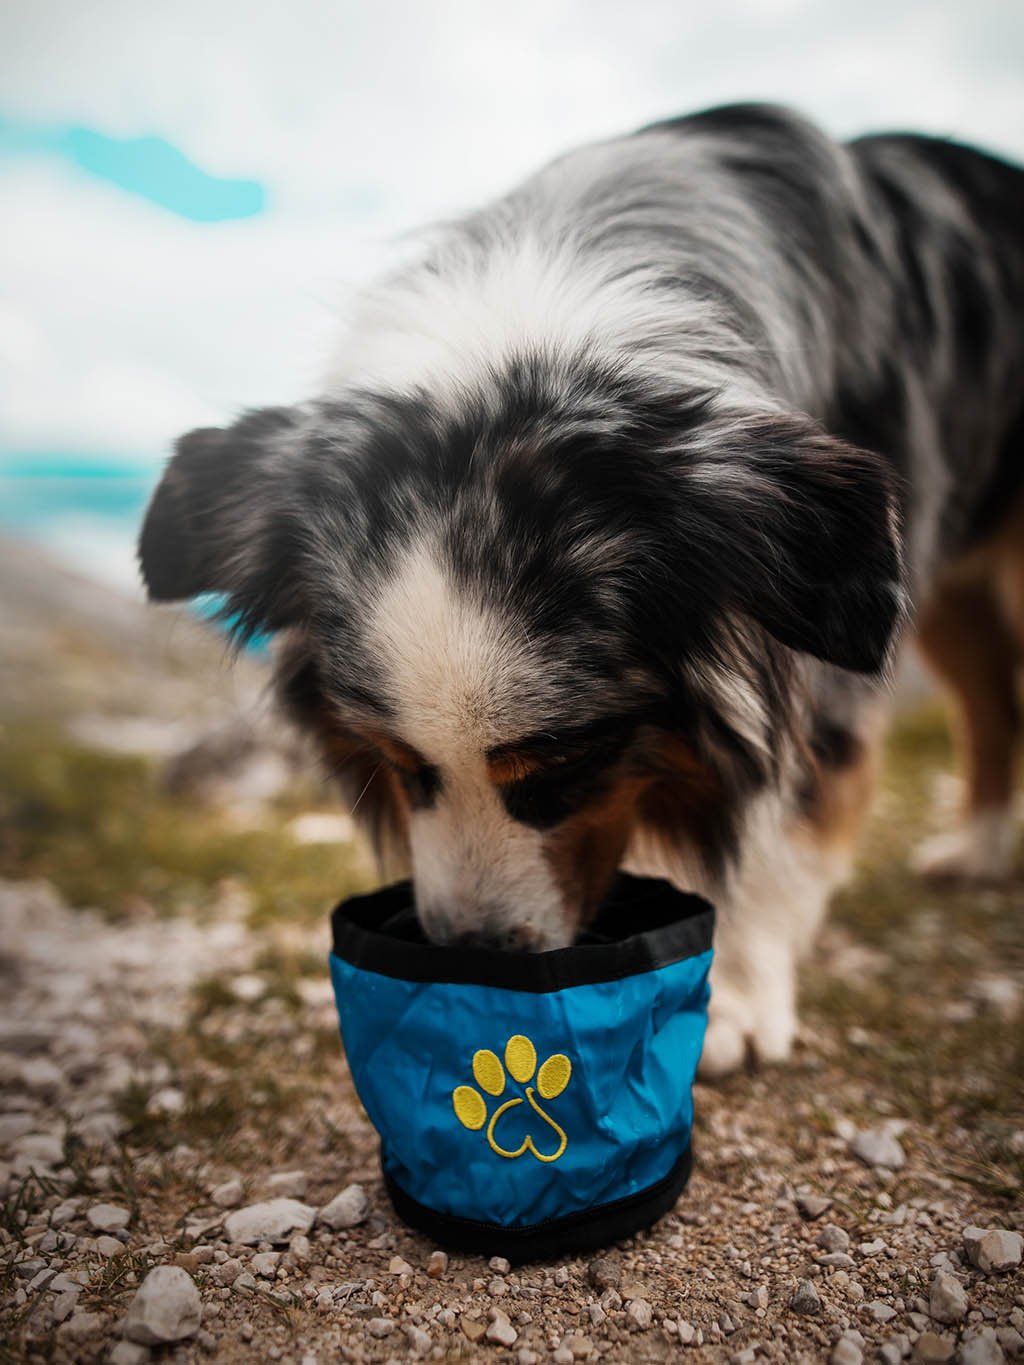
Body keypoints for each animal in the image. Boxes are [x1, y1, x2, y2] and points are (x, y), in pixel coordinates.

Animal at [138, 101, 1024, 1070]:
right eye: (399, 761)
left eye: (567, 759)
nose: (475, 958)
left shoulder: (825, 633)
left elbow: (776, 818)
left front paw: (734, 1001)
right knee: (991, 694)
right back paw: (980, 850)